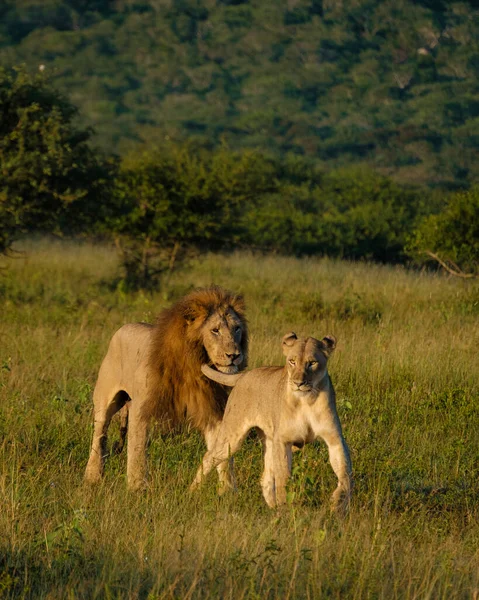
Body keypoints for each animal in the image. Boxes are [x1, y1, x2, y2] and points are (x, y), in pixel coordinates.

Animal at [84, 288, 248, 492]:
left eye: (237, 328)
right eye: (215, 330)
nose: (234, 355)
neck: (193, 363)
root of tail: (123, 328)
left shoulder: (210, 408)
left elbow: (222, 452)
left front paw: (228, 491)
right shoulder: (141, 408)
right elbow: (137, 450)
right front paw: (137, 488)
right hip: (105, 400)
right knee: (99, 434)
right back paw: (92, 477)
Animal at [191, 332, 352, 510]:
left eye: (312, 363)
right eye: (292, 361)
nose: (299, 383)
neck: (306, 400)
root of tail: (244, 374)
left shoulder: (334, 438)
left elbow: (345, 472)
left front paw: (338, 501)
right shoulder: (282, 440)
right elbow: (283, 478)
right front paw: (286, 506)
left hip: (268, 440)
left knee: (266, 478)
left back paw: (273, 509)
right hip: (233, 437)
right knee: (209, 457)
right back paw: (192, 493)